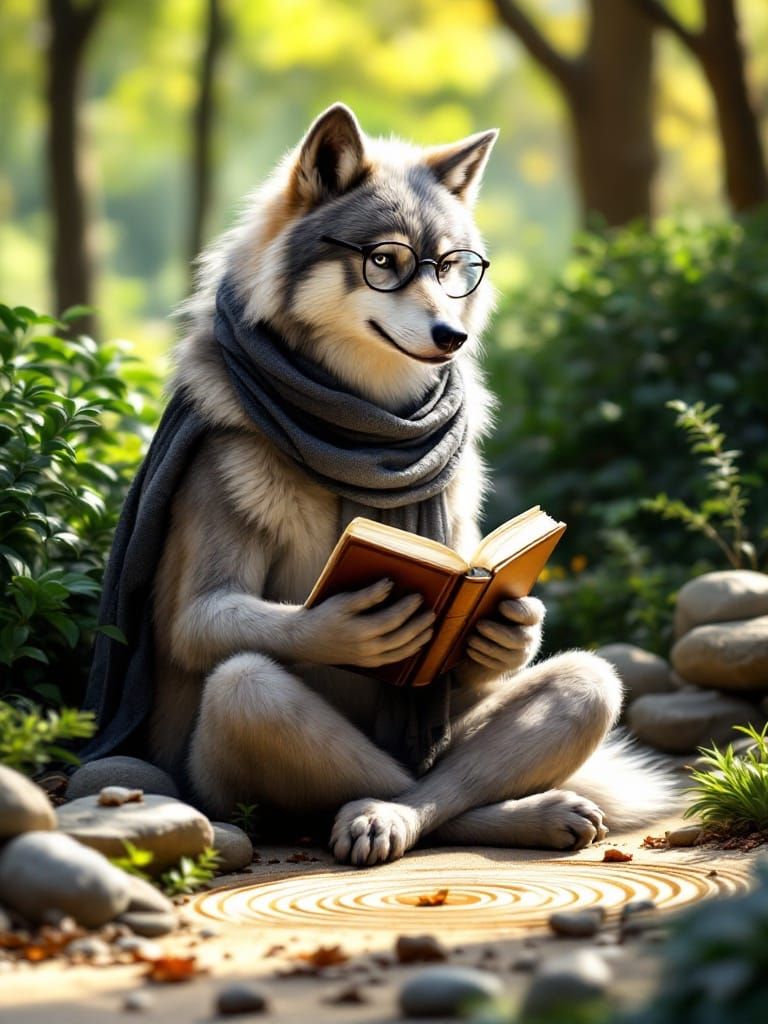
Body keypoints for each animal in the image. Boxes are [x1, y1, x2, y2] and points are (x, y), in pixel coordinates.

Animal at [144, 103, 676, 865]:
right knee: (308, 726)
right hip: (232, 749)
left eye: (454, 268)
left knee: (540, 715)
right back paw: (392, 817)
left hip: (583, 686)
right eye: (386, 262)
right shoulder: (216, 474)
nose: (453, 334)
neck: (364, 432)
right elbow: (198, 621)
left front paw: (513, 630)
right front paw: (344, 629)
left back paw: (534, 813)